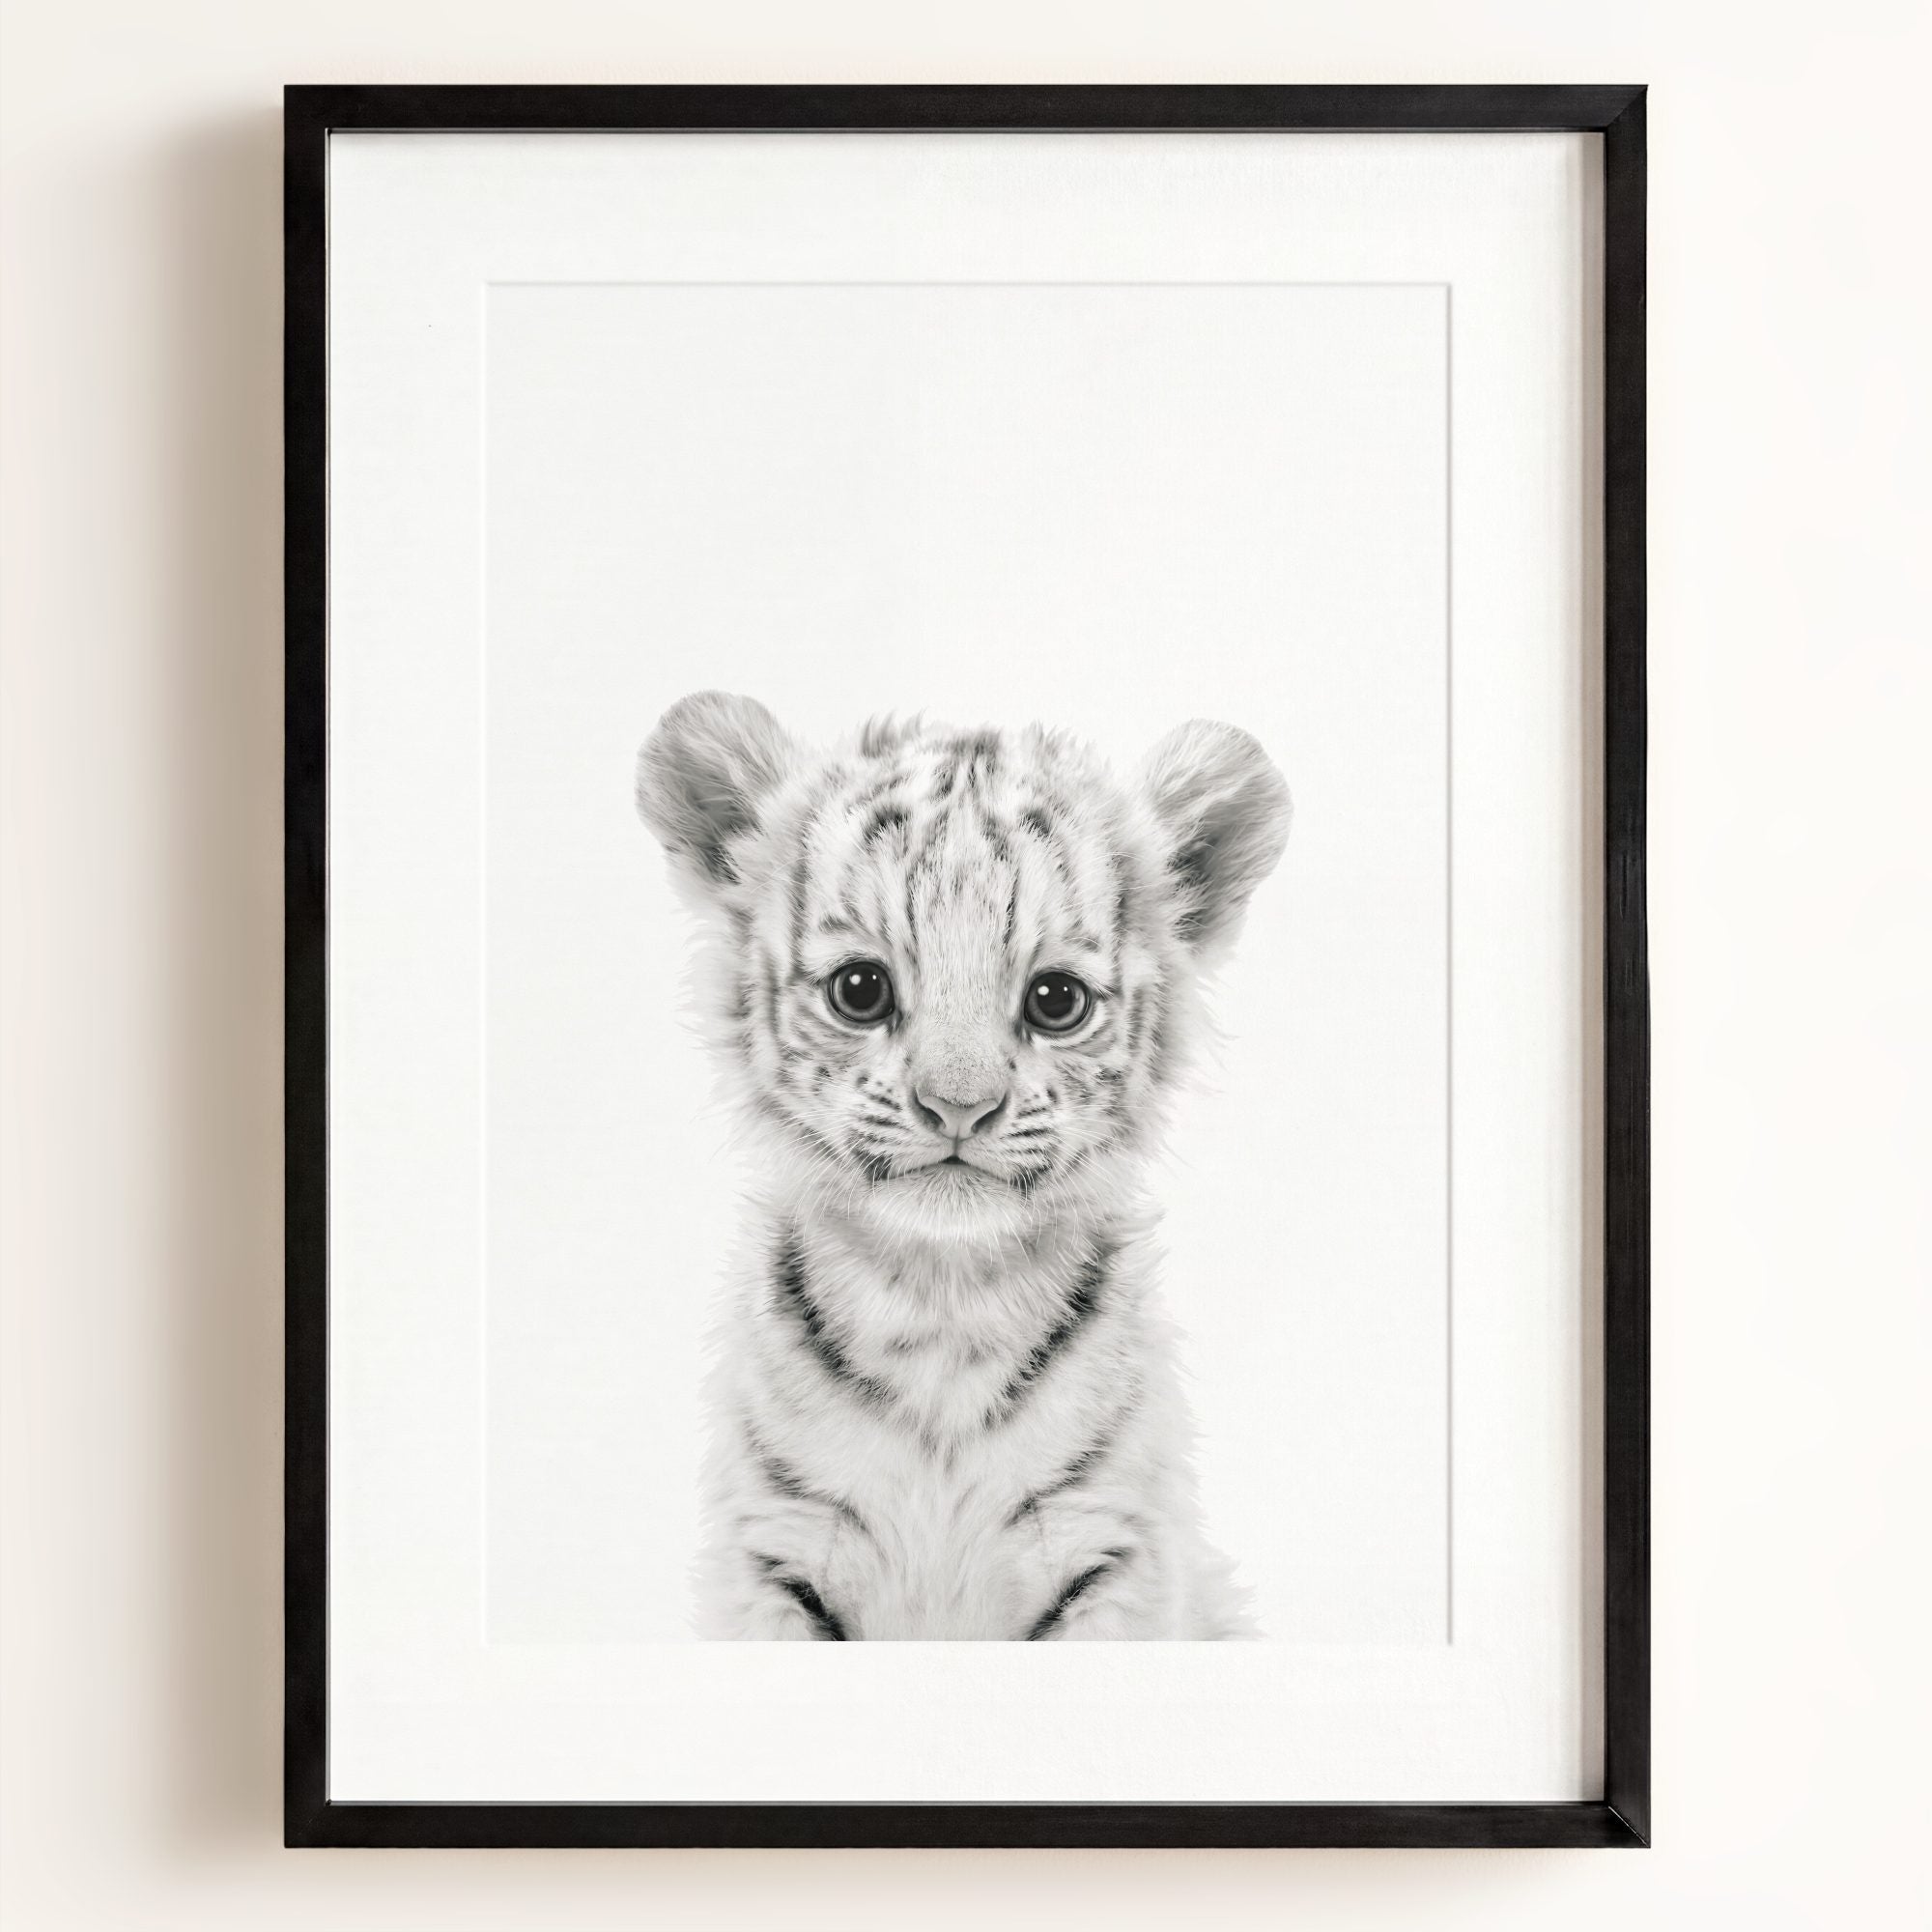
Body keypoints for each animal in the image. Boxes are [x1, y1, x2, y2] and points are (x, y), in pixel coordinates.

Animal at [634, 692, 1291, 1640]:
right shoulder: (776, 1550)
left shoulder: (1109, 1550)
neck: (942, 1305)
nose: (958, 1106)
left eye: (1056, 1001)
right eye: (860, 989)